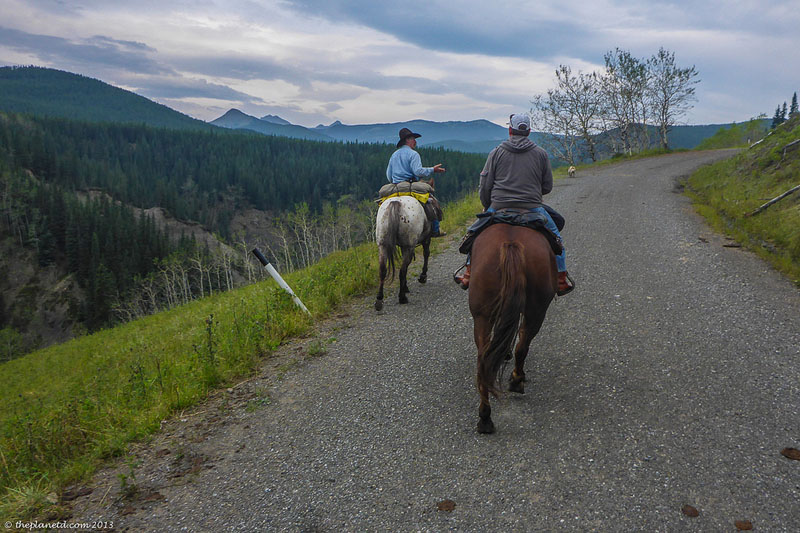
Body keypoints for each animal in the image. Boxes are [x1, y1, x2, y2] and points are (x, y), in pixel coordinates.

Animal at [468, 221, 556, 432]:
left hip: (483, 316)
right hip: (537, 311)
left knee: (484, 358)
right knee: (522, 345)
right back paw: (516, 381)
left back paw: (485, 418)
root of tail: (510, 244)